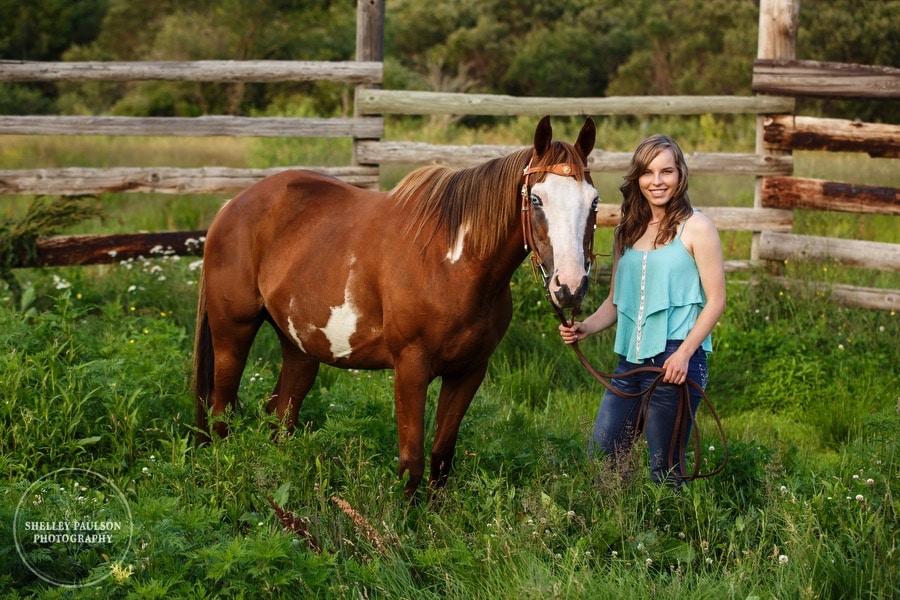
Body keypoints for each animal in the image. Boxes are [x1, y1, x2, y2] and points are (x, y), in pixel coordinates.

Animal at [192, 116, 596, 496]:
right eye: (536, 199)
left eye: (593, 201)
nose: (570, 286)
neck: (453, 264)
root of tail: (232, 206)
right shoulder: (410, 369)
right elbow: (411, 461)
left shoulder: (468, 372)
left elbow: (441, 458)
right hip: (233, 335)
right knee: (220, 413)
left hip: (299, 348)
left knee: (280, 416)